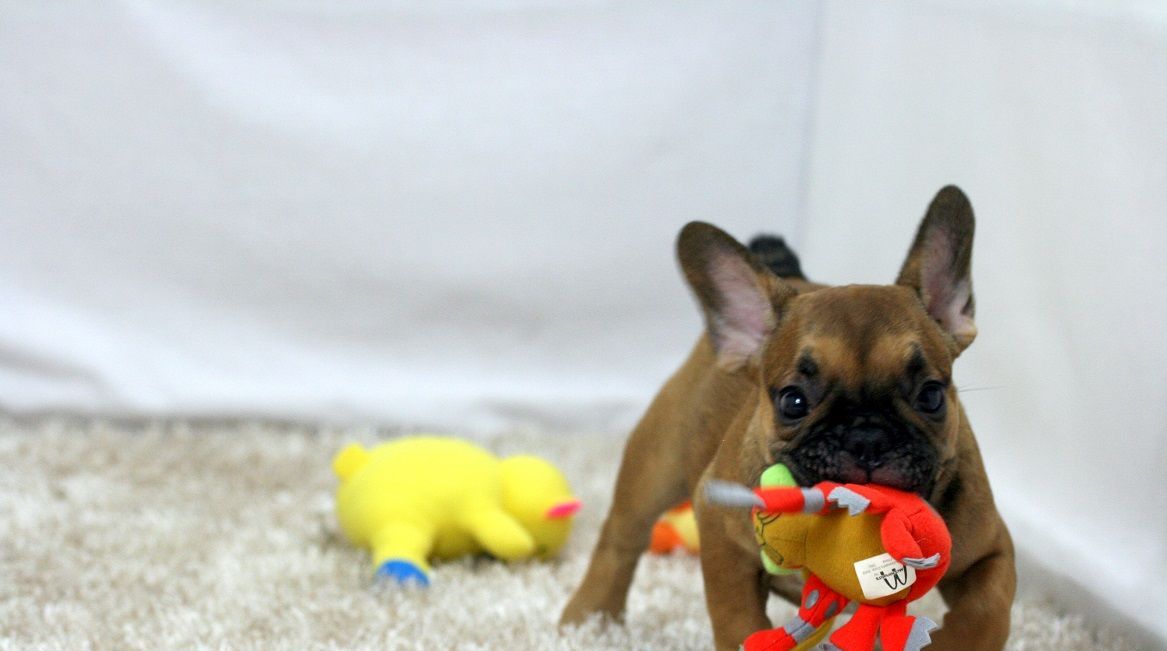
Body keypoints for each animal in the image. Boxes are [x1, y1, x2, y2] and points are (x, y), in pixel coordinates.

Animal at [560, 186, 1017, 648]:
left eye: (931, 396)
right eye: (793, 402)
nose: (867, 437)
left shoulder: (990, 550)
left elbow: (984, 610)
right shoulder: (721, 534)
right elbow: (735, 614)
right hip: (658, 460)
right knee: (621, 538)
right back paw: (587, 618)